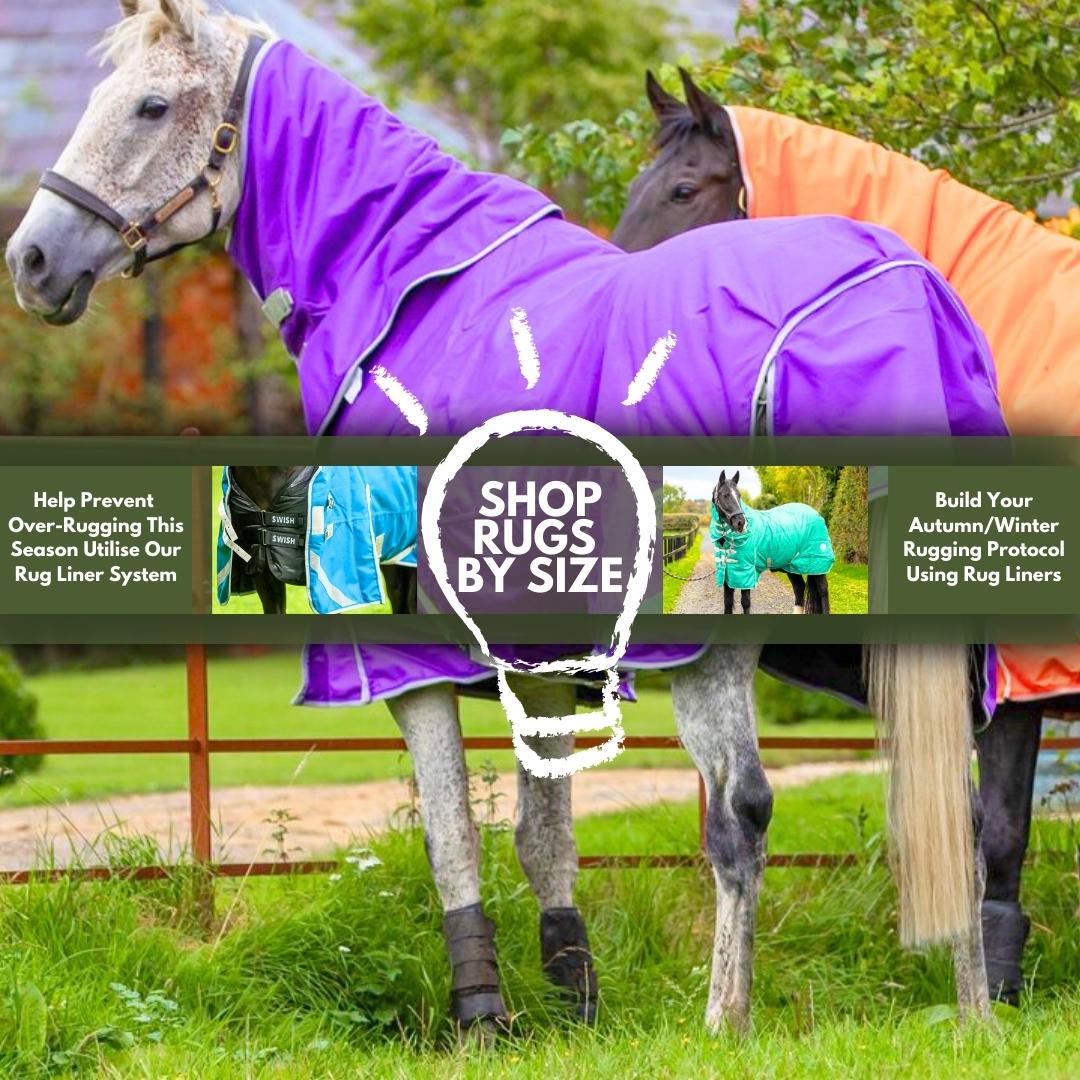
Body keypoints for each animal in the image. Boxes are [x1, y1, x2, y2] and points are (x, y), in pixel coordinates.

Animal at [710, 470, 832, 615]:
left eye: (739, 495)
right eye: (725, 495)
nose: (741, 523)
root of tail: (816, 514)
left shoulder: (746, 572)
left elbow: (745, 602)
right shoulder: (727, 573)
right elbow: (727, 603)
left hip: (817, 563)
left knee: (822, 590)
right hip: (792, 566)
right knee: (799, 588)